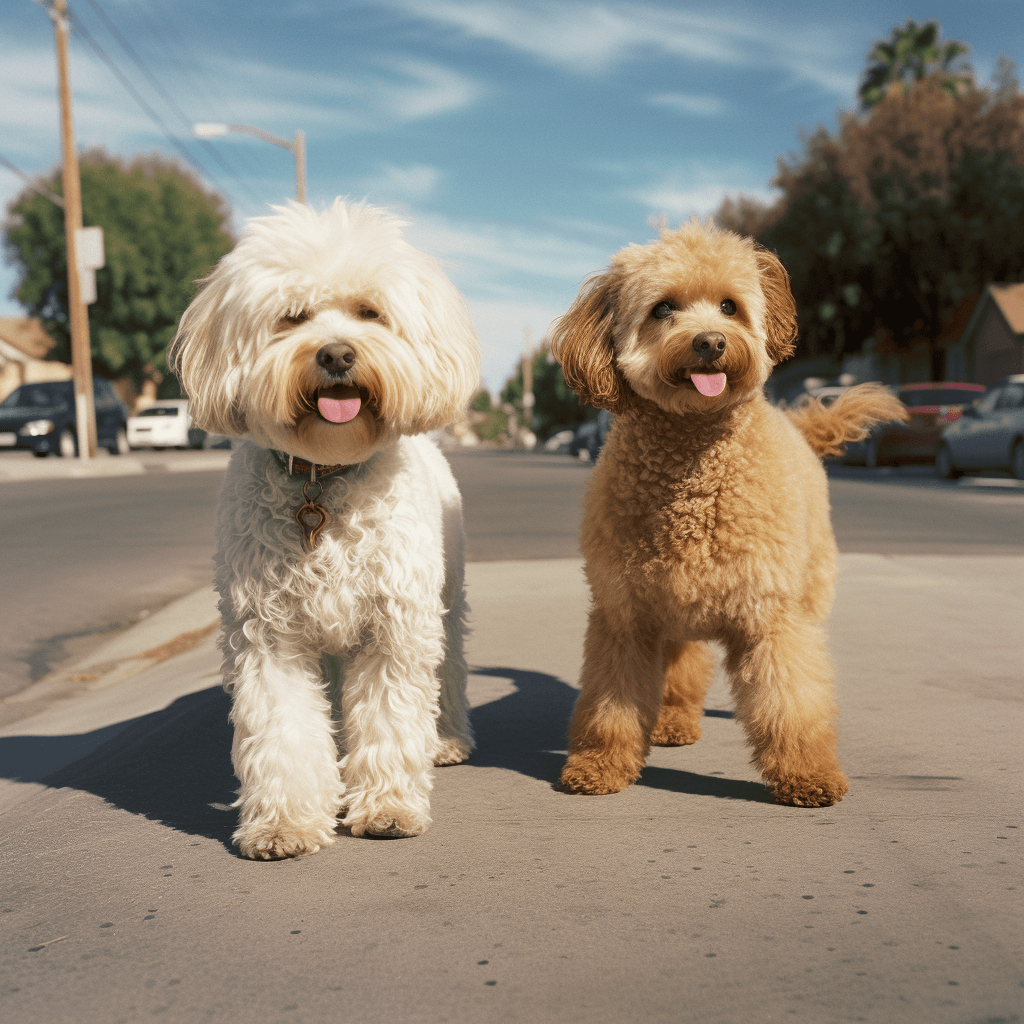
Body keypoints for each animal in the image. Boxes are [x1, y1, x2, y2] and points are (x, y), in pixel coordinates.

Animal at [171, 197, 479, 856]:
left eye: (370, 312)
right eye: (292, 317)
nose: (336, 353)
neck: (323, 478)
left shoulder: (393, 626)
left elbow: (391, 717)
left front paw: (388, 807)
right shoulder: (268, 636)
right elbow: (282, 729)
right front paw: (285, 822)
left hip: (445, 598)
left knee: (448, 669)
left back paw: (445, 738)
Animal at [548, 218, 909, 806]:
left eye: (728, 306)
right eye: (663, 309)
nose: (711, 342)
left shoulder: (772, 616)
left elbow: (792, 700)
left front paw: (807, 774)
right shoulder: (624, 617)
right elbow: (612, 702)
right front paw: (599, 766)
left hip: (807, 590)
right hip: (676, 609)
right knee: (683, 665)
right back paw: (673, 722)